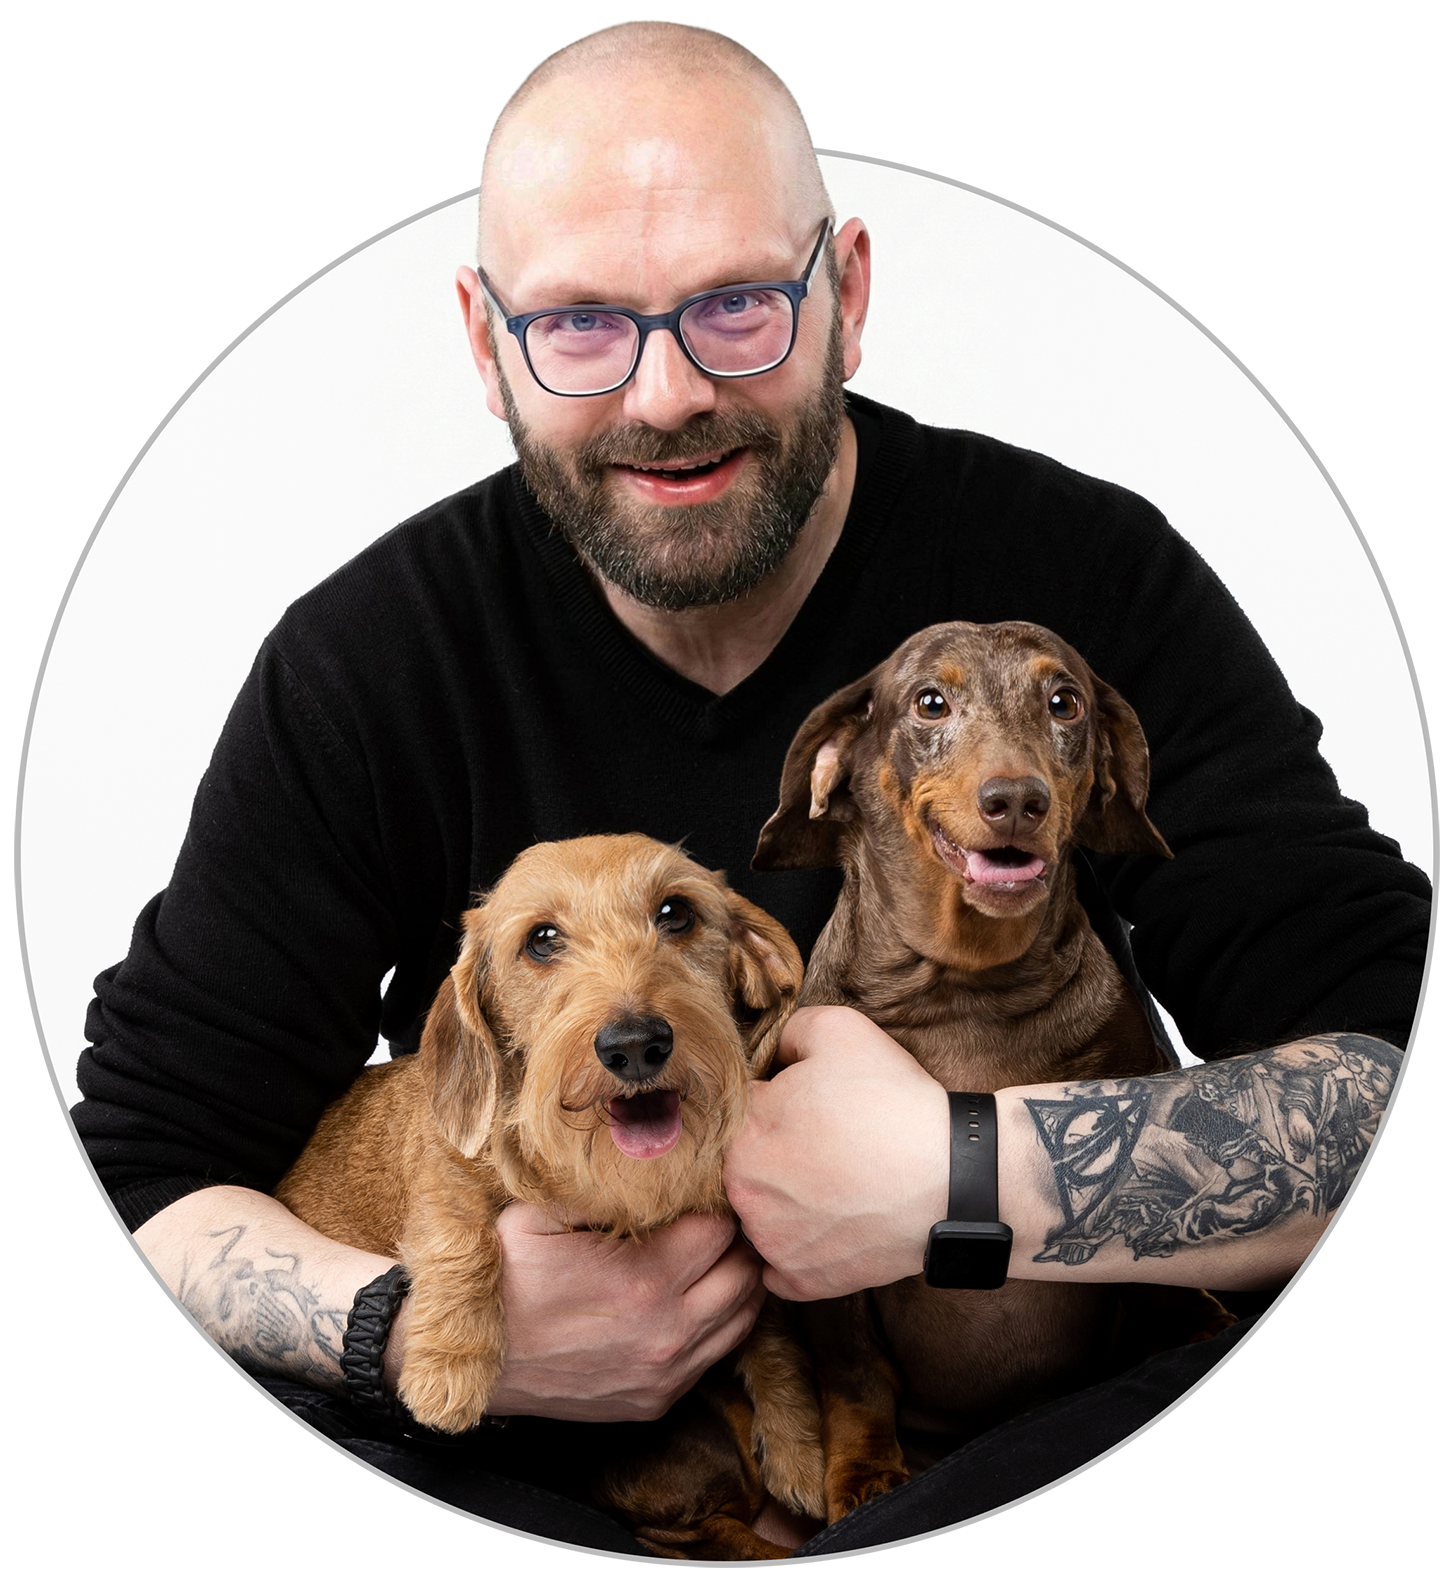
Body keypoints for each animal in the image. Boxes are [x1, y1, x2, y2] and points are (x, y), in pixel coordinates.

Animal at [275, 833, 825, 1558]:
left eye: (675, 912)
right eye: (541, 938)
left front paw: (799, 1448)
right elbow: (461, 1240)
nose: (635, 1044)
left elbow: (774, 1333)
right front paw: (448, 1368)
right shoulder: (446, 1177)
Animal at [753, 620, 1234, 1520]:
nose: (1016, 798)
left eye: (1064, 701)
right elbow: (857, 1376)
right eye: (928, 701)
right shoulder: (825, 1288)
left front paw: (1192, 1323)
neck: (965, 986)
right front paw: (863, 1473)